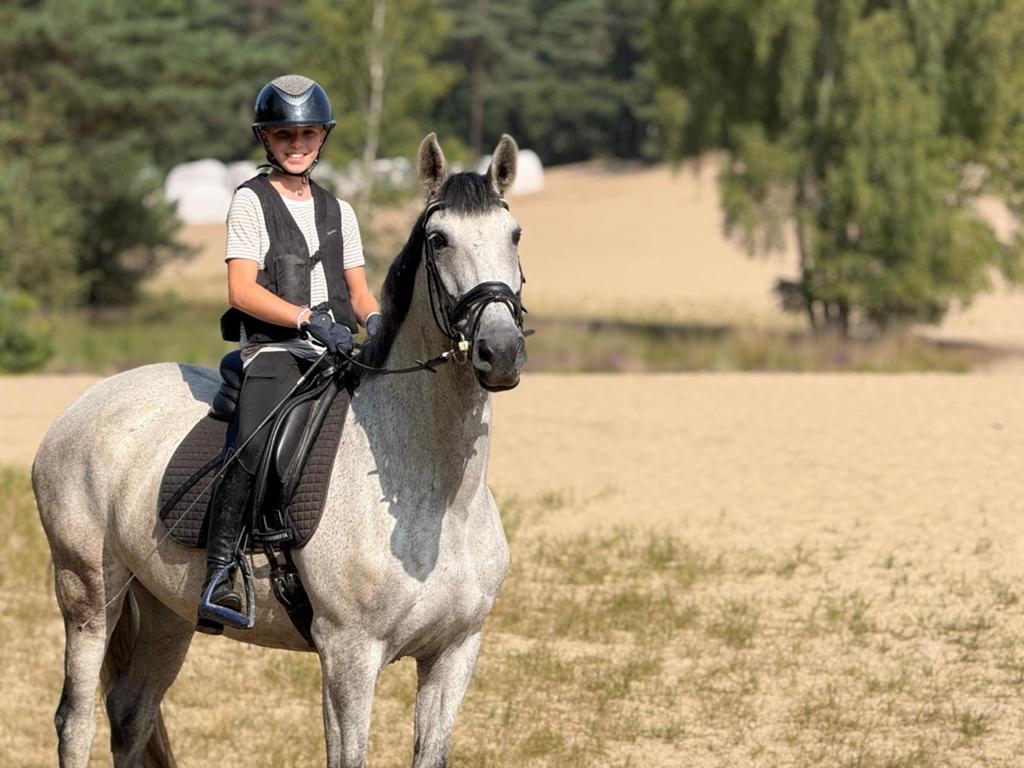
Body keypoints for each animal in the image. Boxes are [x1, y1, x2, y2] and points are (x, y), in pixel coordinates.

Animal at [32, 132, 528, 768]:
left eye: (514, 235)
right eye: (439, 240)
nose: (501, 351)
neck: (438, 501)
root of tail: (83, 404)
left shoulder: (455, 653)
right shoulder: (348, 655)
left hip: (167, 608)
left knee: (130, 710)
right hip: (89, 594)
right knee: (76, 719)